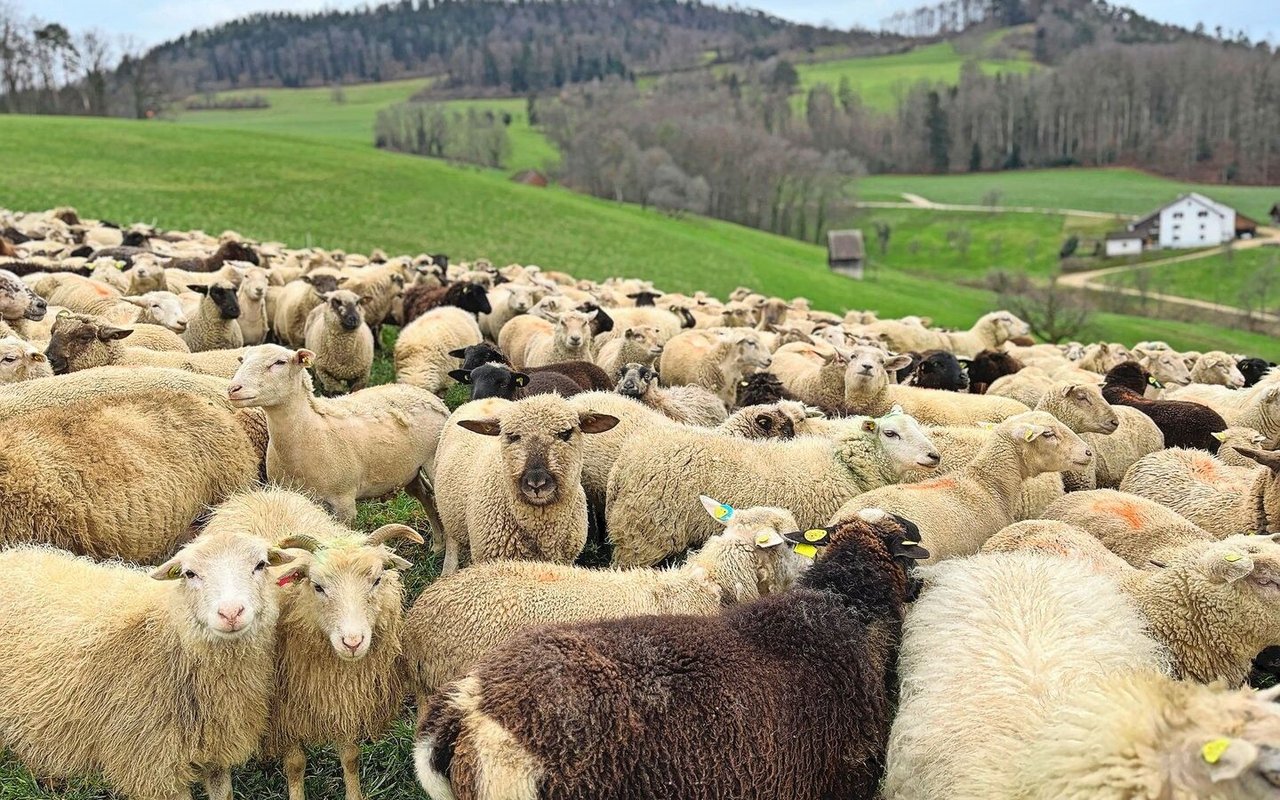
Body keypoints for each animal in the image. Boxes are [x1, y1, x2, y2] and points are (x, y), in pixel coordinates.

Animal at [0, 534, 295, 800]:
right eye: (190, 574)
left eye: (260, 565)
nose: (231, 612)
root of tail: (12, 554)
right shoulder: (152, 766)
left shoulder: (216, 752)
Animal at [228, 344, 448, 524]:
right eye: (242, 360)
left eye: (279, 362)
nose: (233, 389)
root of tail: (430, 397)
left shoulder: (343, 503)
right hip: (410, 470)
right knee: (426, 497)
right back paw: (437, 544)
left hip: (431, 461)